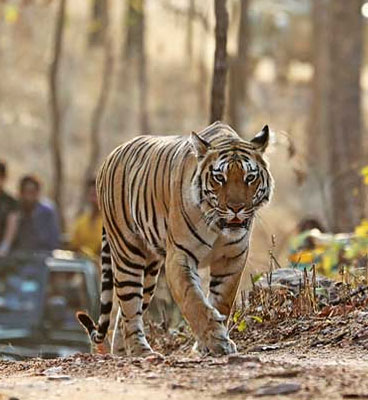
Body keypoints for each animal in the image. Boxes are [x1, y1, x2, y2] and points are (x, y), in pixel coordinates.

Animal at [77, 120, 274, 354]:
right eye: (219, 178)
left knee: (125, 314)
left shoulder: (232, 259)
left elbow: (221, 301)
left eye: (250, 177)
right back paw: (141, 351)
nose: (236, 208)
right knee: (129, 305)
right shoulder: (180, 255)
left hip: (150, 269)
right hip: (128, 253)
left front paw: (209, 343)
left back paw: (123, 353)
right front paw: (216, 341)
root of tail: (109, 157)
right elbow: (193, 300)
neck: (218, 226)